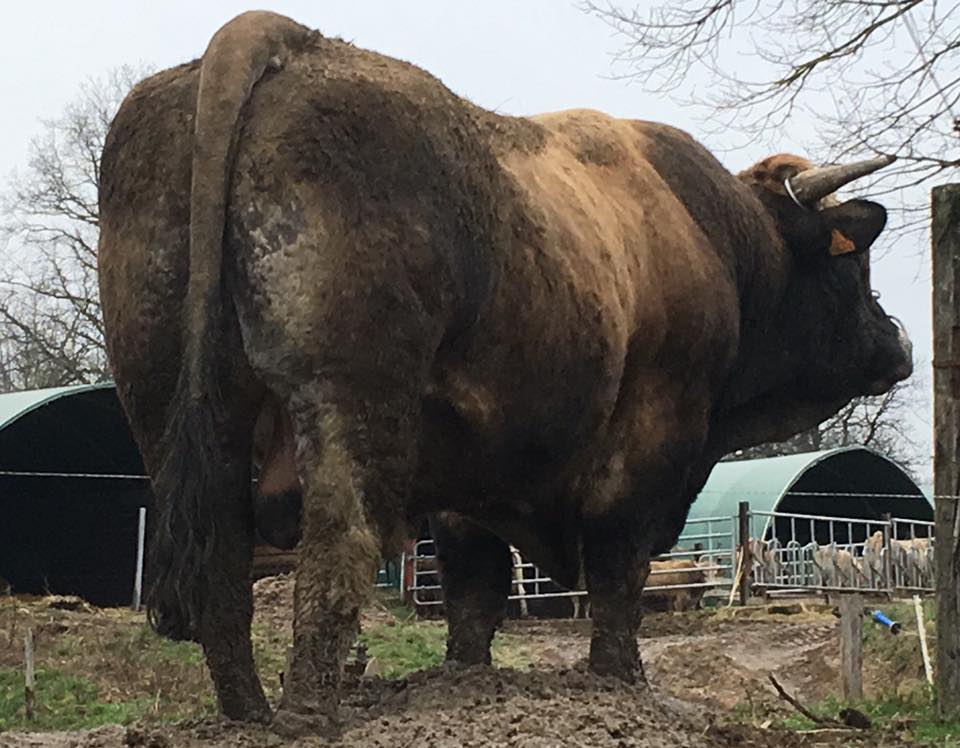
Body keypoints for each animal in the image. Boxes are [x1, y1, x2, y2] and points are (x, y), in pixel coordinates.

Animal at [97, 11, 912, 734]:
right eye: (855, 267)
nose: (898, 342)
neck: (724, 244)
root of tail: (283, 41)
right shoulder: (653, 434)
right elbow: (617, 566)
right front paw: (622, 684)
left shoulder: (474, 459)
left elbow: (475, 584)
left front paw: (467, 680)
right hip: (347, 398)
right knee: (339, 539)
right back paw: (304, 715)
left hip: (164, 400)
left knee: (220, 557)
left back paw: (248, 711)